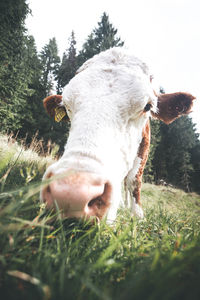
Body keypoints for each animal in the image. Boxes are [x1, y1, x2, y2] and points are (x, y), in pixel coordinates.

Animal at [40, 47, 195, 223]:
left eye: (148, 106)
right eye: (66, 106)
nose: (72, 195)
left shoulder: (145, 147)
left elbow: (134, 180)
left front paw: (137, 215)